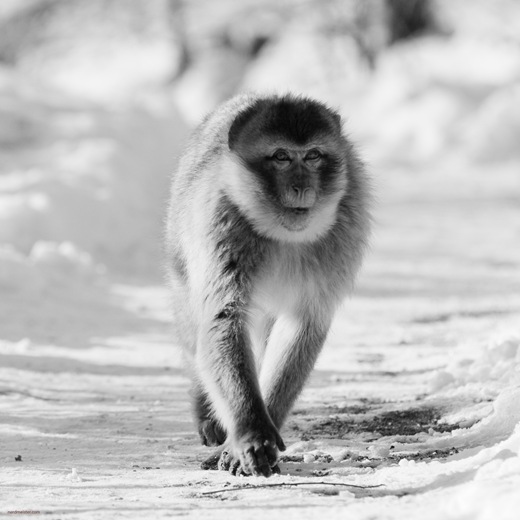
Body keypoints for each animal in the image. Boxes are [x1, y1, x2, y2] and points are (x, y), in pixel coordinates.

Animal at [165, 92, 372, 476]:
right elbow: (223, 318)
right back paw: (207, 412)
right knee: (192, 327)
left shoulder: (343, 233)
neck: (282, 235)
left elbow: (302, 323)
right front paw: (251, 431)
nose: (302, 186)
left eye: (313, 155)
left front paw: (262, 425)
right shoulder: (221, 225)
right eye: (281, 156)